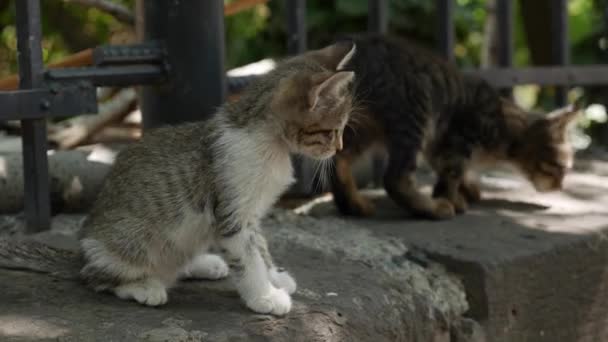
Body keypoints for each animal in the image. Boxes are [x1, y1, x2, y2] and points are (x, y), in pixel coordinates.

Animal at [80, 40, 356, 316]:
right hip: (132, 242)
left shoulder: (251, 213)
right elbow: (248, 259)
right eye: (332, 132)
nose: (340, 148)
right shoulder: (232, 213)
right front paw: (265, 296)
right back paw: (145, 286)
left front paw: (274, 277)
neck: (271, 146)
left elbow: (260, 245)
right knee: (97, 277)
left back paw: (201, 264)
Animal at [328, 34, 580, 220]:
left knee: (337, 161)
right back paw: (433, 208)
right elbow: (452, 172)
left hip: (361, 130)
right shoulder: (461, 134)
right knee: (395, 178)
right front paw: (453, 199)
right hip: (414, 113)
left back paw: (353, 204)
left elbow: (449, 169)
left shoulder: (438, 144)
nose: (561, 186)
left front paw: (466, 189)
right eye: (561, 167)